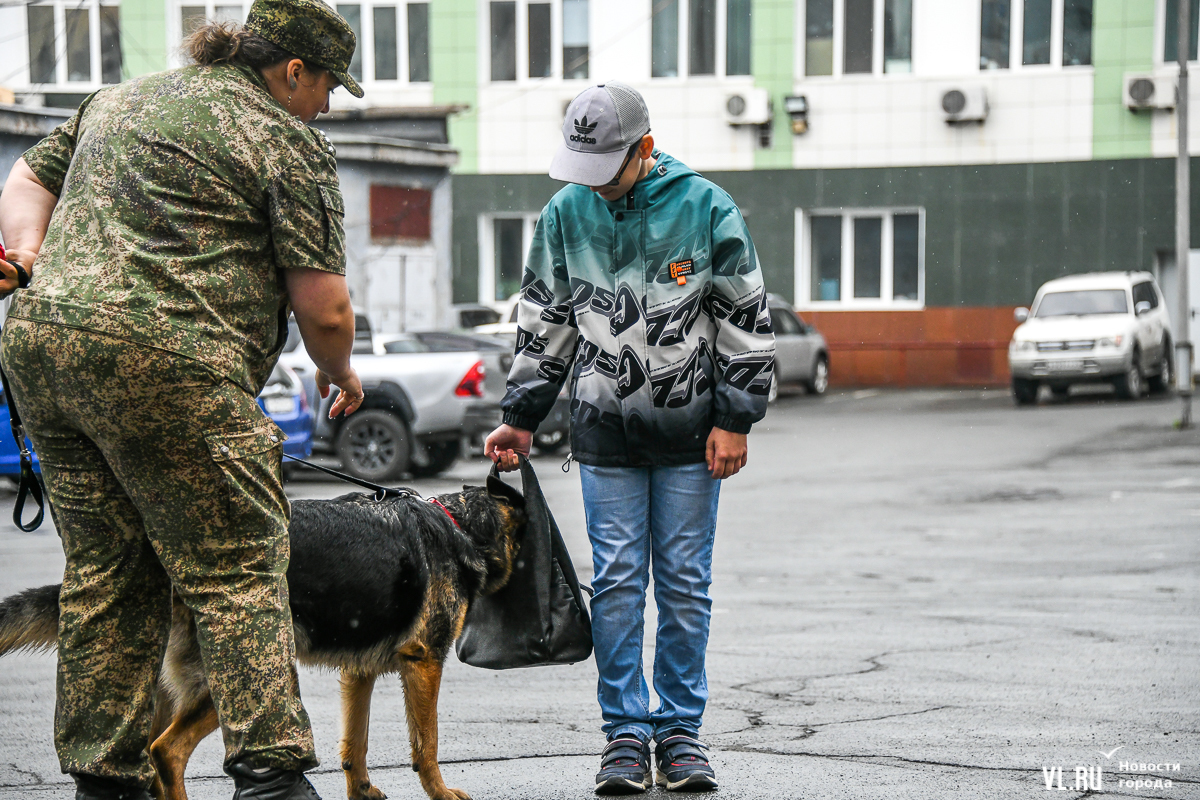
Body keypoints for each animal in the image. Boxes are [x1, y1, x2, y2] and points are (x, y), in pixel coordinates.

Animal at [0, 474, 525, 800]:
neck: (459, 524)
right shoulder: (424, 661)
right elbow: (427, 744)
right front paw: (441, 792)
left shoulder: (358, 672)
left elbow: (354, 746)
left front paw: (361, 792)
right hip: (234, 676)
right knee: (166, 752)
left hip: (166, 689)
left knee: (141, 755)